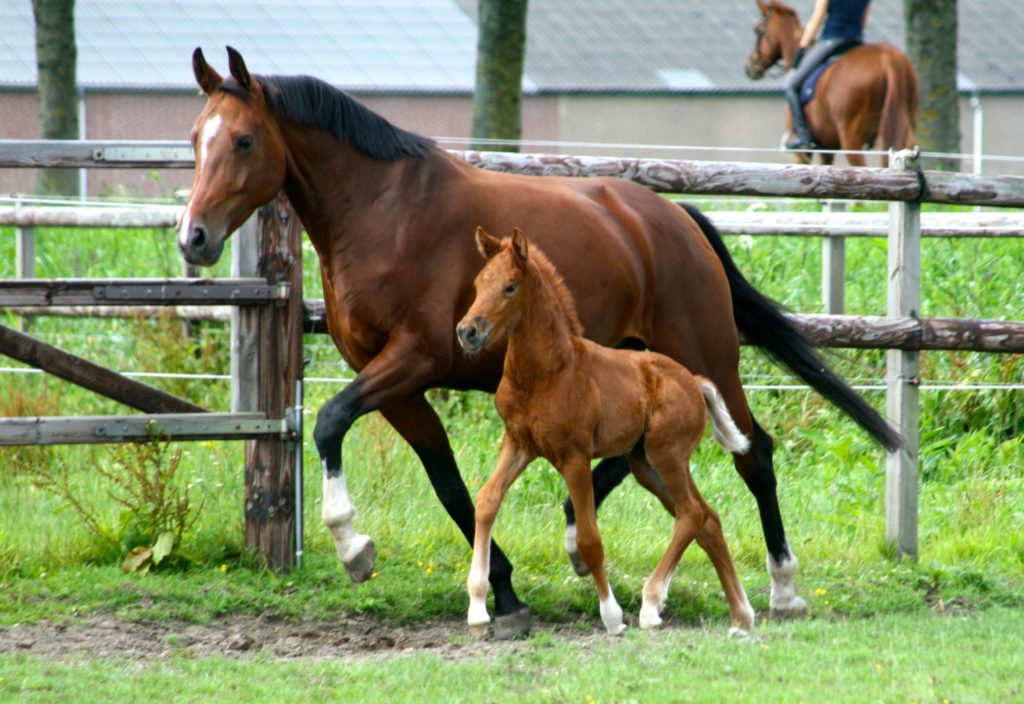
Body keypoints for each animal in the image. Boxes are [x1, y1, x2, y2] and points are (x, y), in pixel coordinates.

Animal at [460, 228, 757, 634]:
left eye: (509, 287)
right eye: (477, 284)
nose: (467, 332)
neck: (546, 372)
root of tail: (696, 382)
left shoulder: (574, 456)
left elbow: (589, 539)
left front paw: (612, 616)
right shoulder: (518, 443)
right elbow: (487, 501)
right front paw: (477, 607)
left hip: (667, 455)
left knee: (692, 514)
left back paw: (651, 604)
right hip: (645, 463)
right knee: (706, 517)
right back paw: (741, 614)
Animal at [745, 0, 921, 166]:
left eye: (758, 30)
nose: (749, 67)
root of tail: (888, 59)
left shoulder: (804, 152)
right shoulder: (827, 148)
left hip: (851, 140)